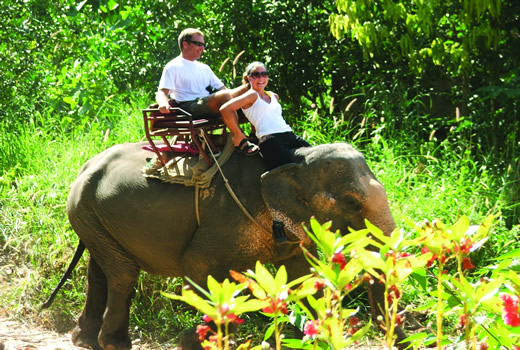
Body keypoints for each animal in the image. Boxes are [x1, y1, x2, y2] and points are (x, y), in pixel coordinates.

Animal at [43, 142, 410, 350]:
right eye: (351, 203)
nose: (401, 338)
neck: (291, 160)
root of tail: (86, 166)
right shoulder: (227, 217)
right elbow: (198, 266)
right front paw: (197, 341)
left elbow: (303, 280)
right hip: (85, 209)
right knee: (122, 274)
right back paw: (114, 344)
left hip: (93, 216)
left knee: (100, 270)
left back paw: (84, 340)